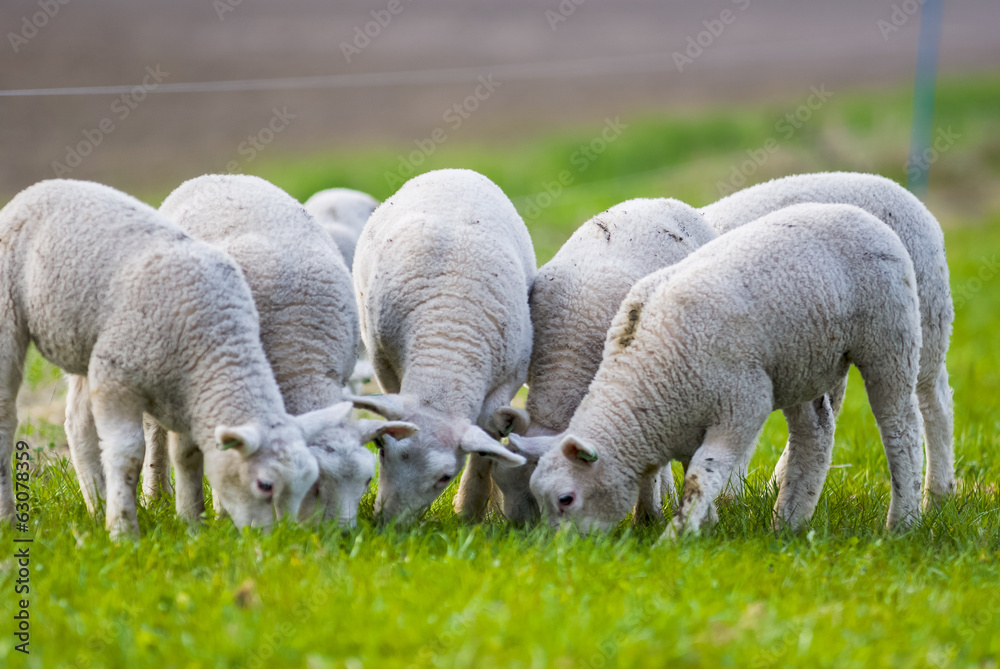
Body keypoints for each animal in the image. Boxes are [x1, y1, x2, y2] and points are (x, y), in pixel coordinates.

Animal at [0, 179, 345, 537]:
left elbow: (188, 455)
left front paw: (192, 523)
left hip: (84, 339)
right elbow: (127, 454)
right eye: (265, 485)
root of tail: (43, 187)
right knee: (6, 416)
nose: (281, 540)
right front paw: (123, 531)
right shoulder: (115, 380)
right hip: (9, 313)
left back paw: (96, 506)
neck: (215, 346)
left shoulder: (187, 393)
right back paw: (9, 519)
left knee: (77, 423)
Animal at [147, 174, 417, 527]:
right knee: (155, 433)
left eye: (367, 480)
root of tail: (217, 176)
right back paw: (156, 496)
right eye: (316, 483)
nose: (344, 533)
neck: (300, 355)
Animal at [348, 168, 533, 523]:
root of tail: (457, 171)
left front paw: (471, 511)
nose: (388, 524)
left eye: (445, 477)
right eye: (381, 448)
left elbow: (486, 443)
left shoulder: (508, 380)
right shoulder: (384, 363)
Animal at [530, 203, 925, 540]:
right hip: (799, 361)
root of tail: (862, 215)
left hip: (888, 338)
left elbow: (699, 477)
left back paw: (902, 523)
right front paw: (704, 525)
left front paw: (676, 536)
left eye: (566, 499)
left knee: (900, 427)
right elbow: (688, 471)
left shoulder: (743, 404)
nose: (560, 551)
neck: (646, 377)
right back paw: (789, 522)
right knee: (815, 432)